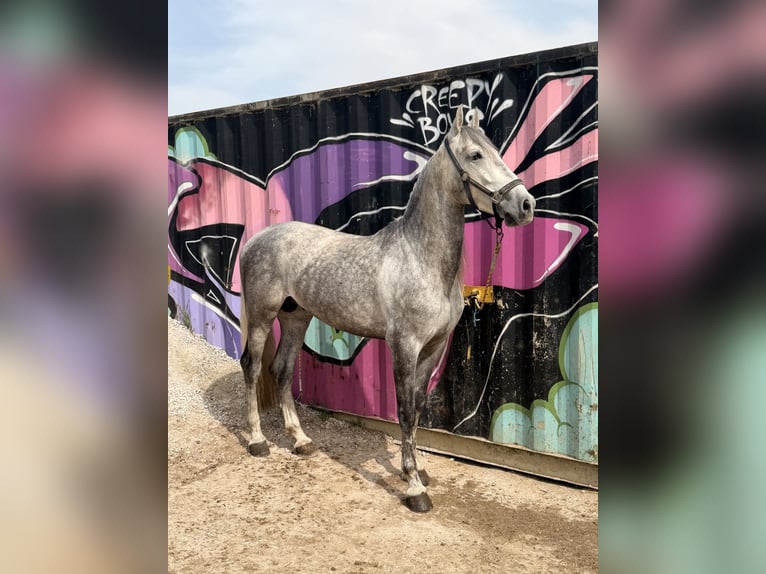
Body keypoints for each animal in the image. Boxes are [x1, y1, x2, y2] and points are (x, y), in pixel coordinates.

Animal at [238, 107, 535, 512]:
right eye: (476, 155)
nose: (526, 205)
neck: (422, 258)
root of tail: (256, 239)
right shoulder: (404, 345)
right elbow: (405, 410)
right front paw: (414, 487)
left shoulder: (434, 347)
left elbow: (420, 407)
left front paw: (420, 469)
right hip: (263, 317)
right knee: (252, 368)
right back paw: (257, 441)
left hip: (296, 316)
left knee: (281, 371)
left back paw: (300, 440)